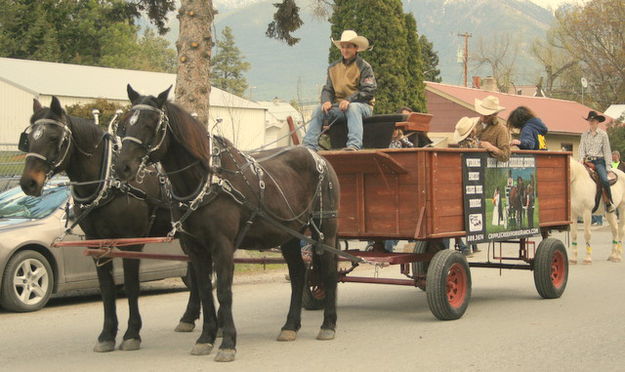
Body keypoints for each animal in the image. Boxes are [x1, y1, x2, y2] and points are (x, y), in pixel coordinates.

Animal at [18, 96, 202, 352]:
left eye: (54, 137)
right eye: (29, 138)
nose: (28, 183)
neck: (110, 181)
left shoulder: (131, 242)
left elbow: (132, 286)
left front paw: (131, 334)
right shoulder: (97, 243)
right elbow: (106, 288)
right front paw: (106, 334)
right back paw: (188, 317)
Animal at [117, 85, 342, 362]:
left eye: (151, 124)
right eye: (124, 124)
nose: (122, 167)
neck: (206, 180)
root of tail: (317, 156)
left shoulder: (222, 246)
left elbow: (224, 291)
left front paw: (227, 343)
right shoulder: (196, 248)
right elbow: (205, 290)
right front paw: (205, 338)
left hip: (325, 228)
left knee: (329, 271)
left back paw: (328, 324)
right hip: (289, 233)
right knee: (298, 273)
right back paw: (290, 325)